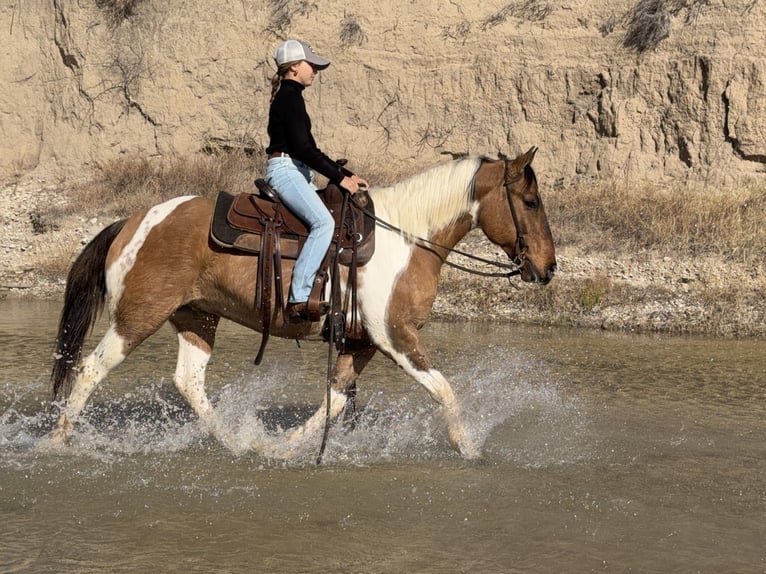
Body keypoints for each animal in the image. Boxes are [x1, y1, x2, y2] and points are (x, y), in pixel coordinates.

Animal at [47, 147, 556, 459]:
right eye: (530, 201)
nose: (548, 267)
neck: (410, 238)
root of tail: (133, 221)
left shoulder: (361, 342)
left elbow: (335, 399)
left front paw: (286, 448)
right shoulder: (396, 337)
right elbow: (444, 392)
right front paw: (469, 450)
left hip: (197, 317)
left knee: (188, 381)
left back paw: (237, 442)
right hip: (138, 315)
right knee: (91, 369)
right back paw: (56, 441)